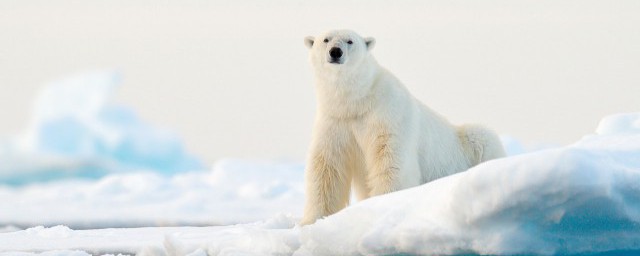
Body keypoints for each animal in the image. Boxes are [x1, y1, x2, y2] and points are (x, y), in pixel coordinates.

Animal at [300, 29, 504, 224]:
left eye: (350, 41)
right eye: (326, 39)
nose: (335, 52)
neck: (357, 101)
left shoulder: (387, 113)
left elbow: (390, 158)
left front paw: (385, 203)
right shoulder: (335, 121)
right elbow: (327, 167)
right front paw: (311, 220)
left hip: (470, 144)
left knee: (482, 138)